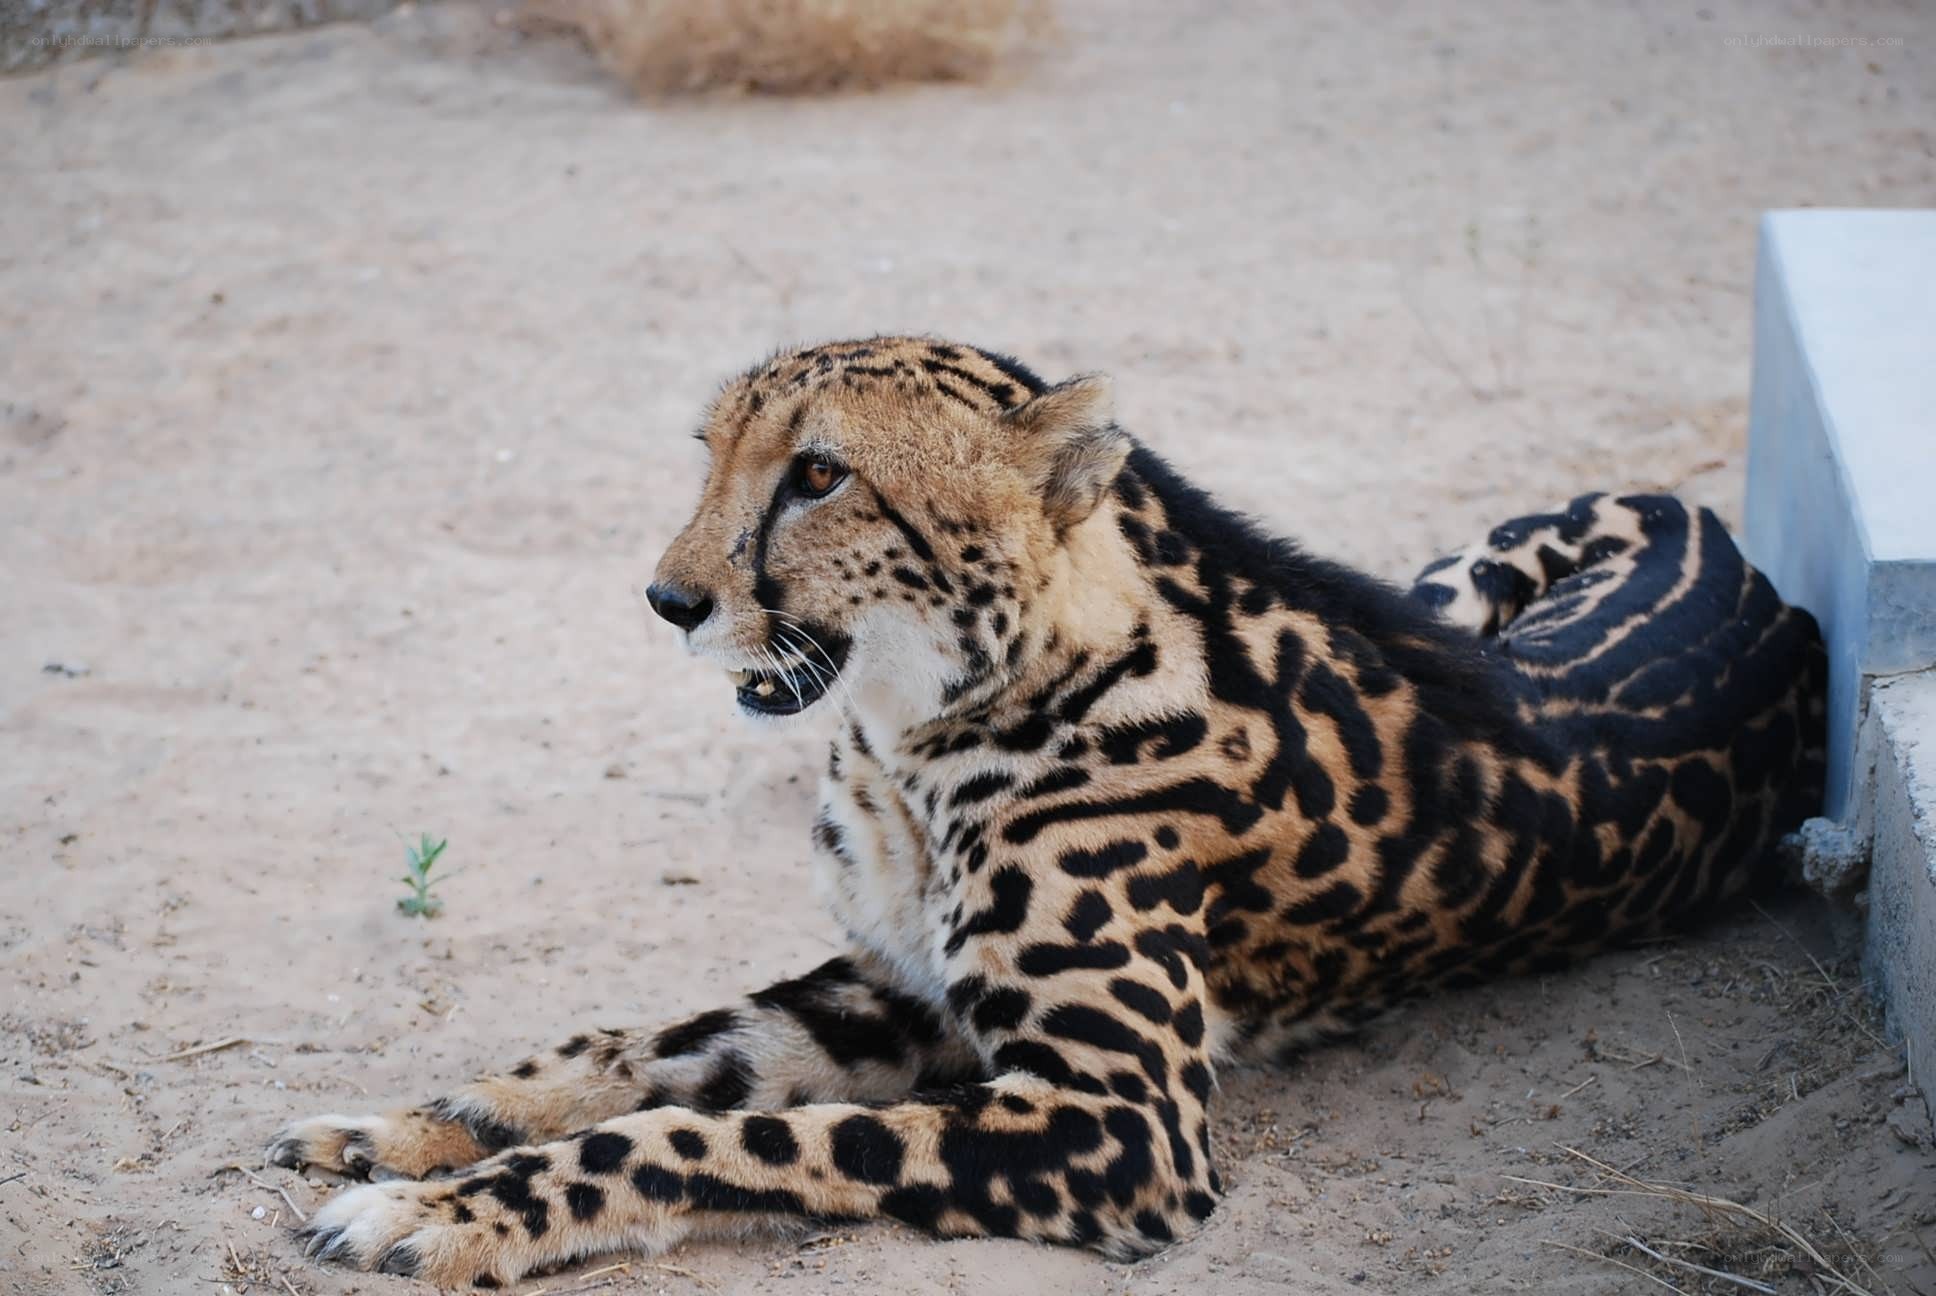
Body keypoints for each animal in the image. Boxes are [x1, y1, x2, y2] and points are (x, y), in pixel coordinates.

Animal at [268, 336, 1826, 1287]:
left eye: (818, 473)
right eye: (710, 452)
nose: (668, 600)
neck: (927, 723)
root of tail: (1730, 546)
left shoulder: (1125, 1123)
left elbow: (715, 1138)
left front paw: (450, 1216)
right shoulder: (890, 990)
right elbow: (631, 1051)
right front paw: (405, 1133)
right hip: (1444, 581)